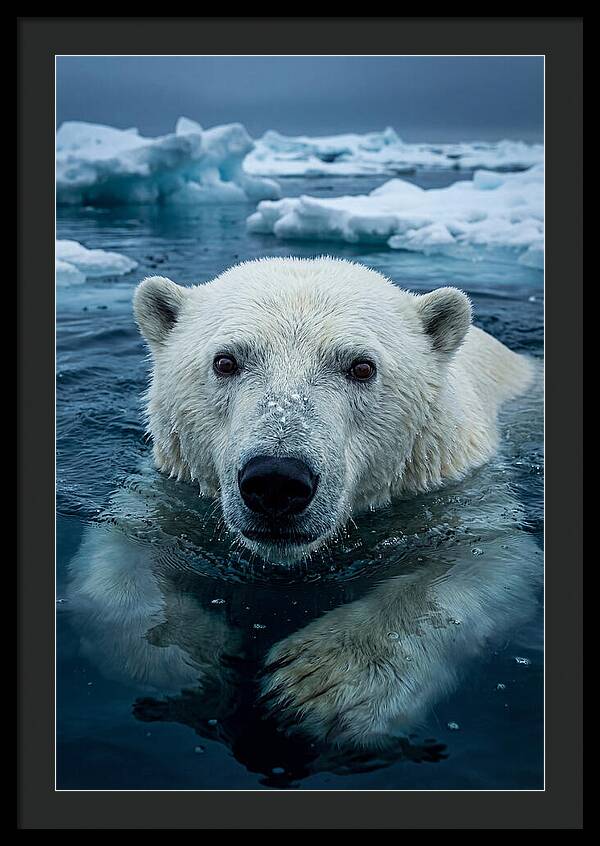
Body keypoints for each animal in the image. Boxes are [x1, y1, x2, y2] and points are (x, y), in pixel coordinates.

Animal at [65, 257, 541, 765]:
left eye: (361, 366)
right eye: (225, 361)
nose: (276, 480)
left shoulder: (454, 490)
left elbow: (487, 560)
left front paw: (320, 684)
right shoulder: (173, 491)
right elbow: (121, 554)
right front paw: (191, 657)